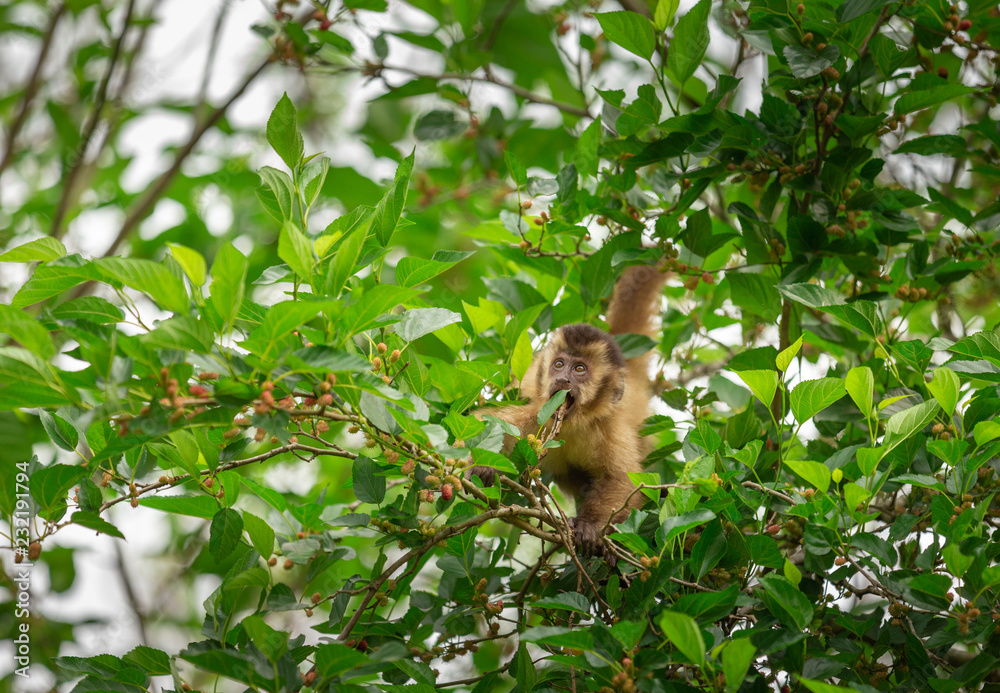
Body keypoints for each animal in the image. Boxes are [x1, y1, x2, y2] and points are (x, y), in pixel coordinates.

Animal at [472, 262, 668, 556]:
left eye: (579, 369)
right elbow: (486, 425)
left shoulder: (610, 427)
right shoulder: (540, 413)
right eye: (559, 364)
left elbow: (623, 480)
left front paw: (590, 526)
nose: (563, 379)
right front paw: (482, 467)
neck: (571, 425)